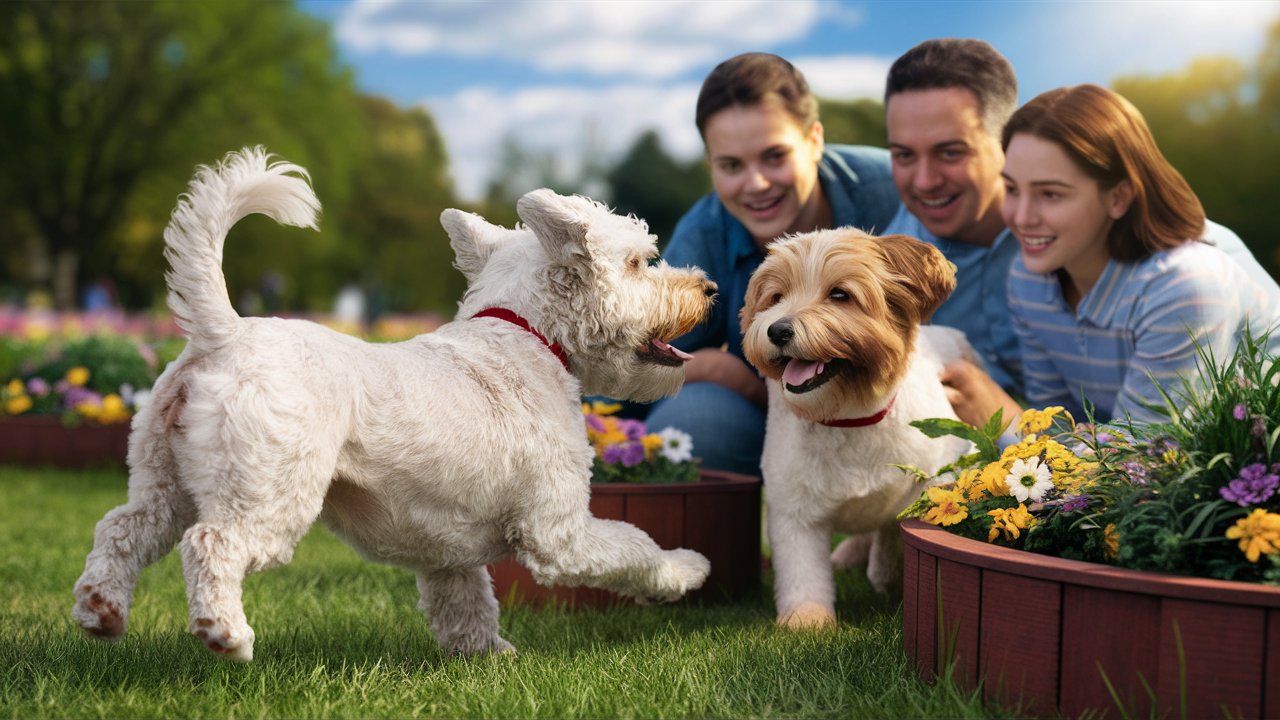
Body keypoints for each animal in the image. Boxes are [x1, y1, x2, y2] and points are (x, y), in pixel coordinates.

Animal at [72, 147, 721, 661]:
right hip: (269, 493)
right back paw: (225, 634)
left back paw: (101, 611)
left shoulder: (447, 552)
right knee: (211, 543)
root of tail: (225, 334)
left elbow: (466, 606)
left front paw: (490, 657)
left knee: (122, 529)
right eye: (639, 262)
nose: (709, 288)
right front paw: (687, 569)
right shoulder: (558, 533)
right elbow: (636, 548)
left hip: (165, 482)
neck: (526, 337)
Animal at [742, 226, 967, 625]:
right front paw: (807, 621)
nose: (777, 329)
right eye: (776, 297)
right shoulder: (794, 510)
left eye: (840, 294)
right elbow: (802, 573)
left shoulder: (938, 478)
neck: (850, 418)